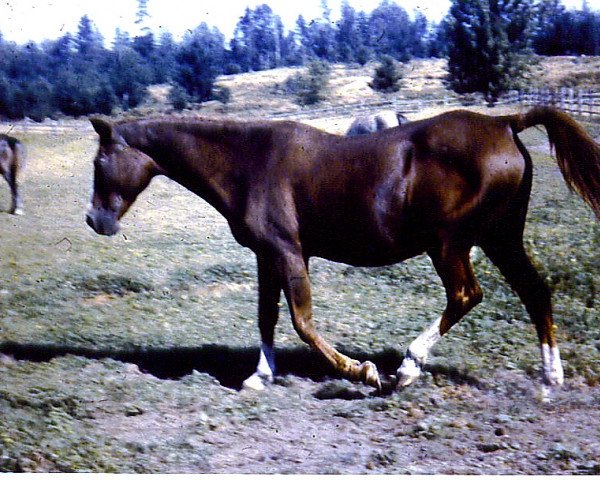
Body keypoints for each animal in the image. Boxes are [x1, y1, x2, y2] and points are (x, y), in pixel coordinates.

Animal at [86, 109, 596, 394]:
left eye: (100, 160)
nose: (95, 220)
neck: (249, 161)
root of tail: (505, 124)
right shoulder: (266, 256)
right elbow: (266, 317)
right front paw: (259, 376)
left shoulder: (289, 253)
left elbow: (302, 322)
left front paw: (362, 372)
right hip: (500, 238)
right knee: (535, 291)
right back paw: (551, 378)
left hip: (450, 244)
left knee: (466, 295)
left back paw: (406, 368)